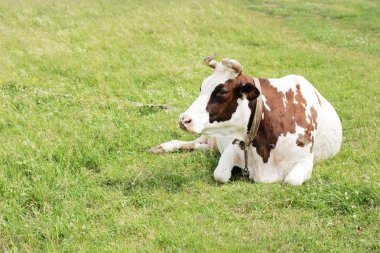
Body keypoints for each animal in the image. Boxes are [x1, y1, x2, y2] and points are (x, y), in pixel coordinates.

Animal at [150, 55, 342, 186]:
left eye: (223, 91)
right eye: (201, 87)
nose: (184, 119)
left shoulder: (304, 160)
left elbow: (291, 180)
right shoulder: (234, 146)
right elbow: (220, 174)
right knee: (191, 143)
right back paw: (162, 147)